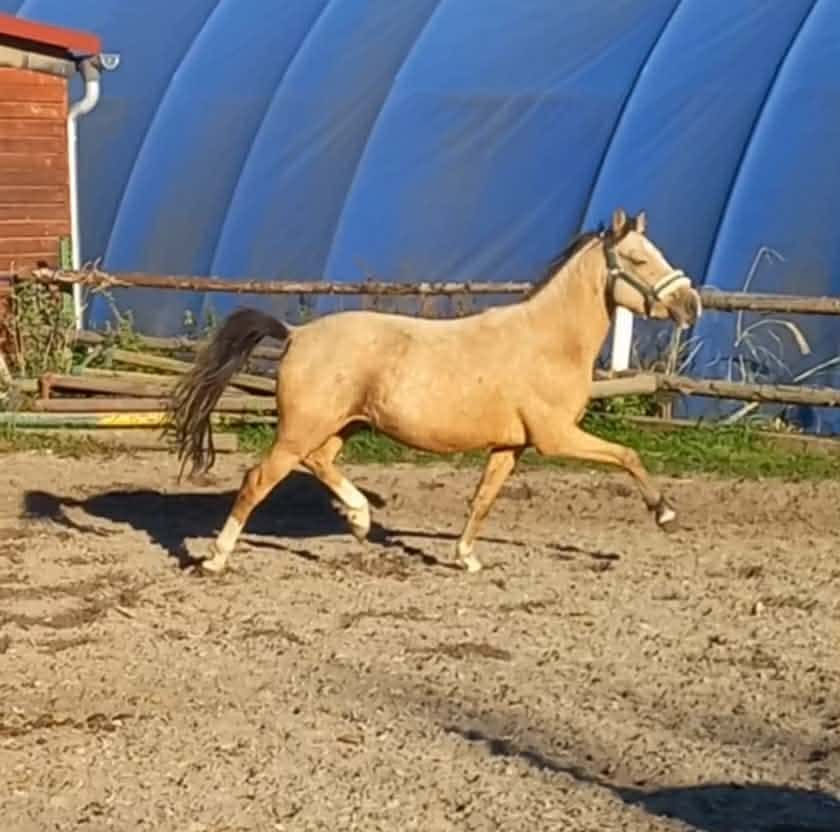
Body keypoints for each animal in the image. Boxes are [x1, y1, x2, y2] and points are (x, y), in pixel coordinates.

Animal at [166, 208, 701, 574]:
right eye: (638, 259)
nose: (691, 304)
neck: (548, 341)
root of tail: (297, 335)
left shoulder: (511, 445)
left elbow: (483, 498)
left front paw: (466, 558)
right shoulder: (556, 437)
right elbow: (628, 454)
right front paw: (666, 513)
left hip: (342, 425)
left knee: (319, 462)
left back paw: (359, 519)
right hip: (302, 428)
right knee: (258, 479)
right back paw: (215, 559)